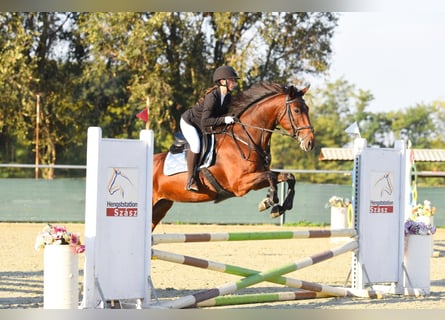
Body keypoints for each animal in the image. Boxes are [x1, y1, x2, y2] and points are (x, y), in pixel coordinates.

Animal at [151, 81, 314, 229]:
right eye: (297, 110)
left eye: (307, 108)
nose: (310, 142)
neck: (245, 139)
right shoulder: (239, 184)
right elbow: (271, 176)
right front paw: (269, 201)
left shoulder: (255, 179)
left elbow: (288, 176)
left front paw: (279, 207)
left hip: (161, 206)